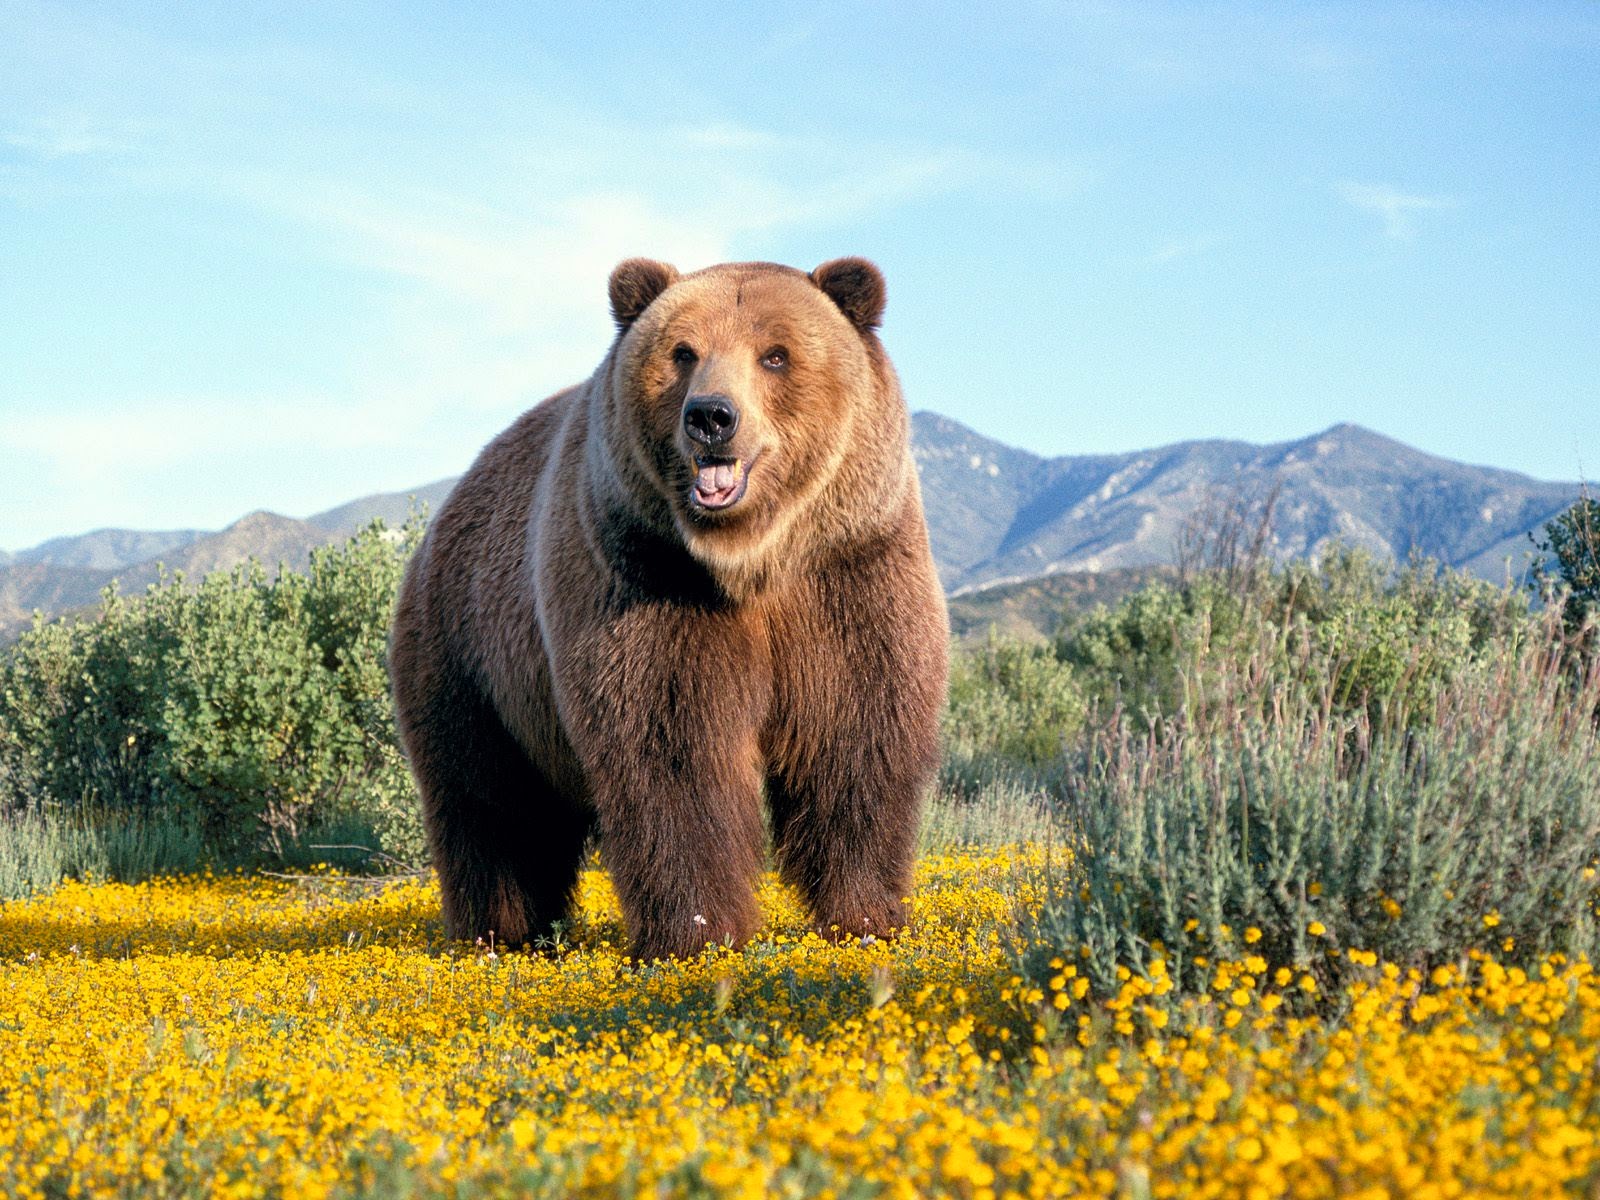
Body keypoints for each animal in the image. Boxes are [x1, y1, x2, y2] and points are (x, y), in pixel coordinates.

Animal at [388, 259, 947, 966]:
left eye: (775, 354)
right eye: (683, 352)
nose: (711, 416)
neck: (750, 560)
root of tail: (444, 512)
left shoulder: (848, 573)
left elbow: (855, 735)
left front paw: (866, 916)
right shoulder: (645, 579)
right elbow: (673, 750)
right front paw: (698, 933)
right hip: (472, 655)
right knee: (490, 802)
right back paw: (499, 932)